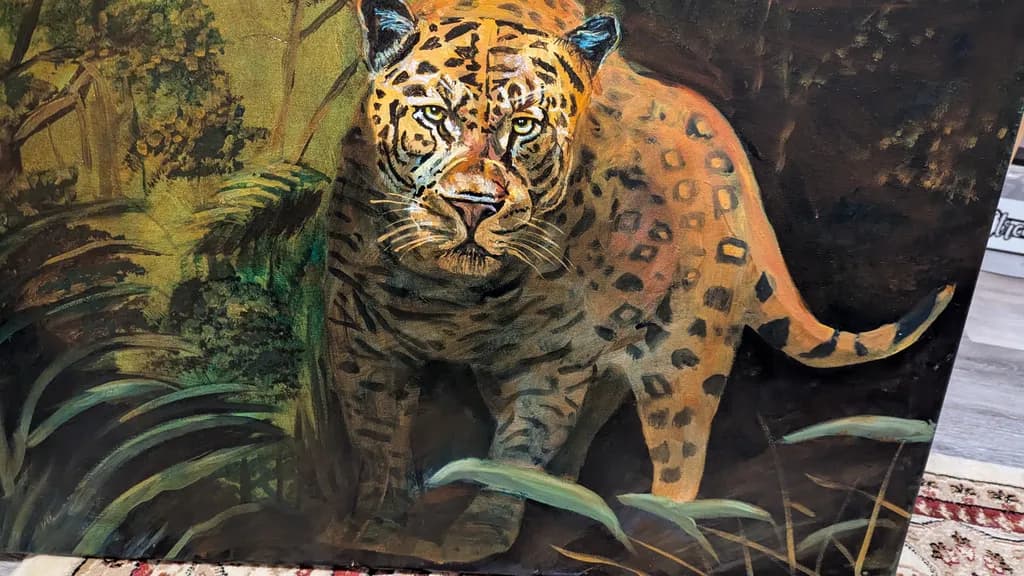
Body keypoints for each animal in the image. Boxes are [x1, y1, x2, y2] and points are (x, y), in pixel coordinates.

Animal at [323, 0, 954, 562]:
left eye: (524, 126)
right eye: (433, 116)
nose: (474, 206)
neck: (452, 293)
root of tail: (738, 173)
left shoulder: (545, 361)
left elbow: (518, 447)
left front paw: (481, 533)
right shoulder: (356, 329)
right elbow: (378, 435)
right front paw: (375, 526)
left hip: (686, 354)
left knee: (680, 455)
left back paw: (660, 528)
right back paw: (570, 491)